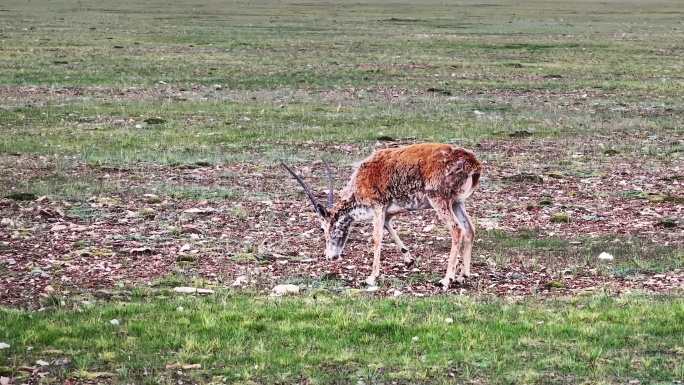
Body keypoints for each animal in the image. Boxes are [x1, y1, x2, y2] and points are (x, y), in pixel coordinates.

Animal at [280, 142, 484, 286]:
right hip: (457, 202)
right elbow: (388, 227)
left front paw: (371, 277)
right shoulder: (387, 212)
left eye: (323, 228)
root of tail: (473, 164)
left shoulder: (378, 205)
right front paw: (408, 260)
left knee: (457, 229)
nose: (331, 257)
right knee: (470, 228)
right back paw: (462, 276)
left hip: (439, 198)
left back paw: (446, 279)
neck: (359, 182)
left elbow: (377, 237)